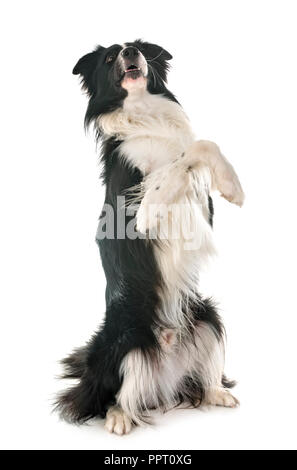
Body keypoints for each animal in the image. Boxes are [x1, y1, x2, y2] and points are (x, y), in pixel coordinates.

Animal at [55, 38, 243, 436]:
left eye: (135, 48)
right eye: (110, 57)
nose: (129, 52)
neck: (144, 114)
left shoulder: (201, 208)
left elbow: (199, 147)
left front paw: (232, 184)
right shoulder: (129, 204)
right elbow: (175, 167)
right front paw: (153, 206)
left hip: (206, 317)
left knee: (198, 377)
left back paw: (217, 393)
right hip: (126, 341)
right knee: (107, 395)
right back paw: (119, 417)